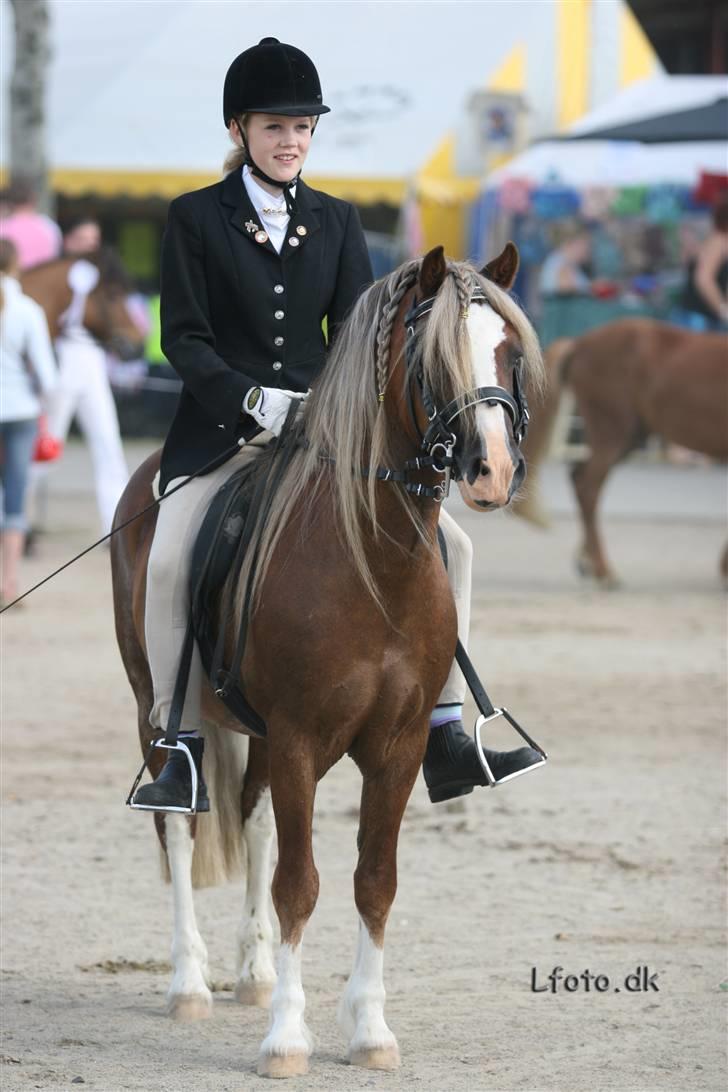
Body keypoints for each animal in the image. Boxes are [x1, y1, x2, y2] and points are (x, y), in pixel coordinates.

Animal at [108, 245, 541, 1074]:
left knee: (253, 820)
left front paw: (369, 1030)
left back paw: (253, 973)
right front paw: (287, 1038)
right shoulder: (302, 738)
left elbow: (374, 882)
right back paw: (190, 984)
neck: (374, 562)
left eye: (509, 352)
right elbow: (300, 885)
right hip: (155, 706)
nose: (493, 472)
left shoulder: (395, 748)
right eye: (434, 361)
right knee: (177, 822)